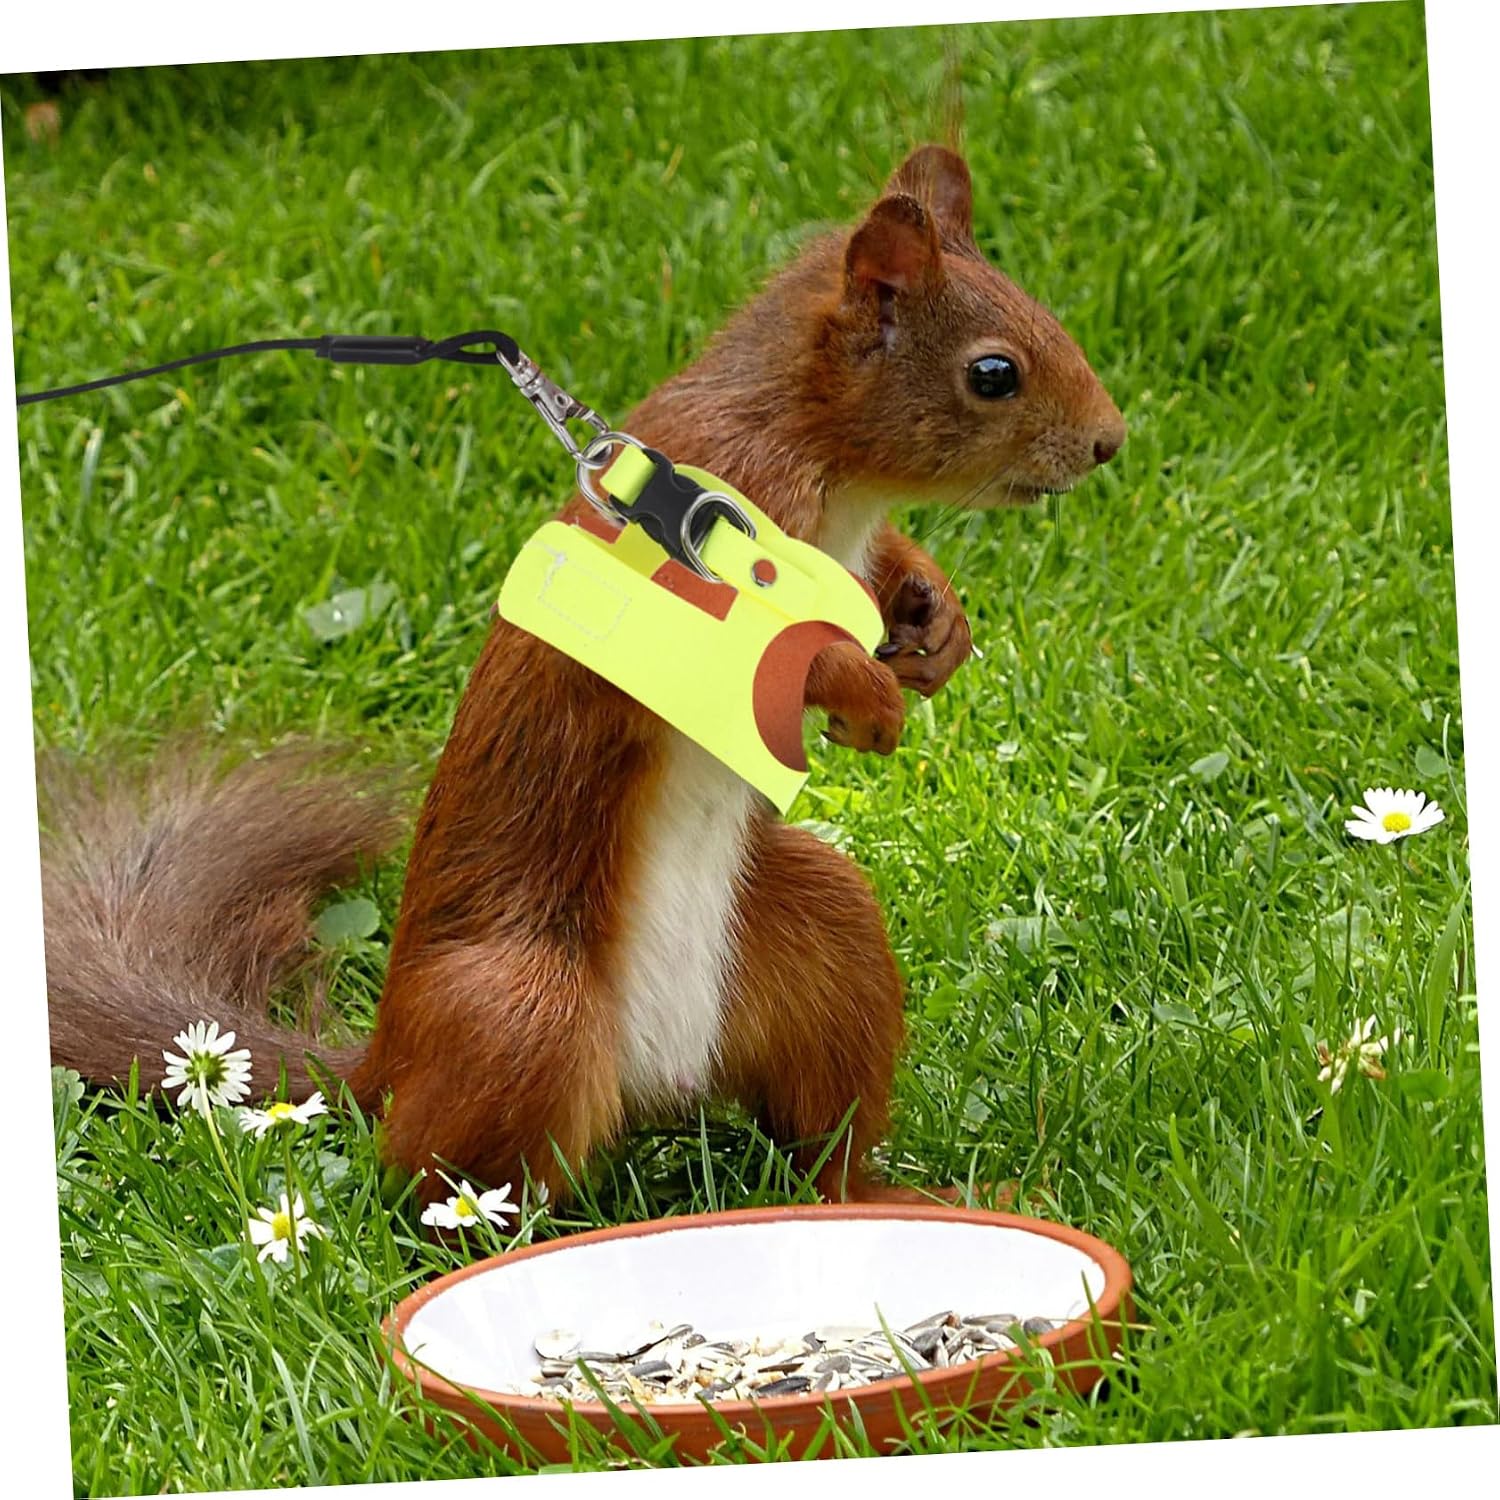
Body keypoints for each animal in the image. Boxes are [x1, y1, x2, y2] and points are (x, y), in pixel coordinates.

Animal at [42, 145, 1124, 1208]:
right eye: (994, 373)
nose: (1110, 442)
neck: (820, 459)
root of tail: (381, 1066)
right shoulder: (694, 563)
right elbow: (762, 649)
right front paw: (864, 691)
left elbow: (886, 572)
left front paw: (935, 622)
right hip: (520, 1012)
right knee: (440, 1185)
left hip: (823, 941)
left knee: (825, 1143)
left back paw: (902, 1197)